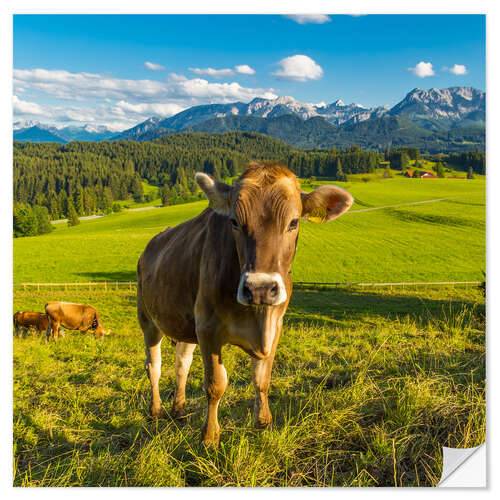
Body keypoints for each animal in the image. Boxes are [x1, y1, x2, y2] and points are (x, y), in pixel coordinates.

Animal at [137, 161, 354, 446]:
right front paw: (209, 437)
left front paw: (263, 423)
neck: (257, 317)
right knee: (154, 366)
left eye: (294, 222)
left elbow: (262, 378)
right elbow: (215, 384)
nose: (260, 289)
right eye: (234, 222)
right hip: (147, 318)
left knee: (181, 363)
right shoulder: (208, 328)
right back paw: (156, 410)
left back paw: (180, 408)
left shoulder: (275, 325)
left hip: (185, 323)